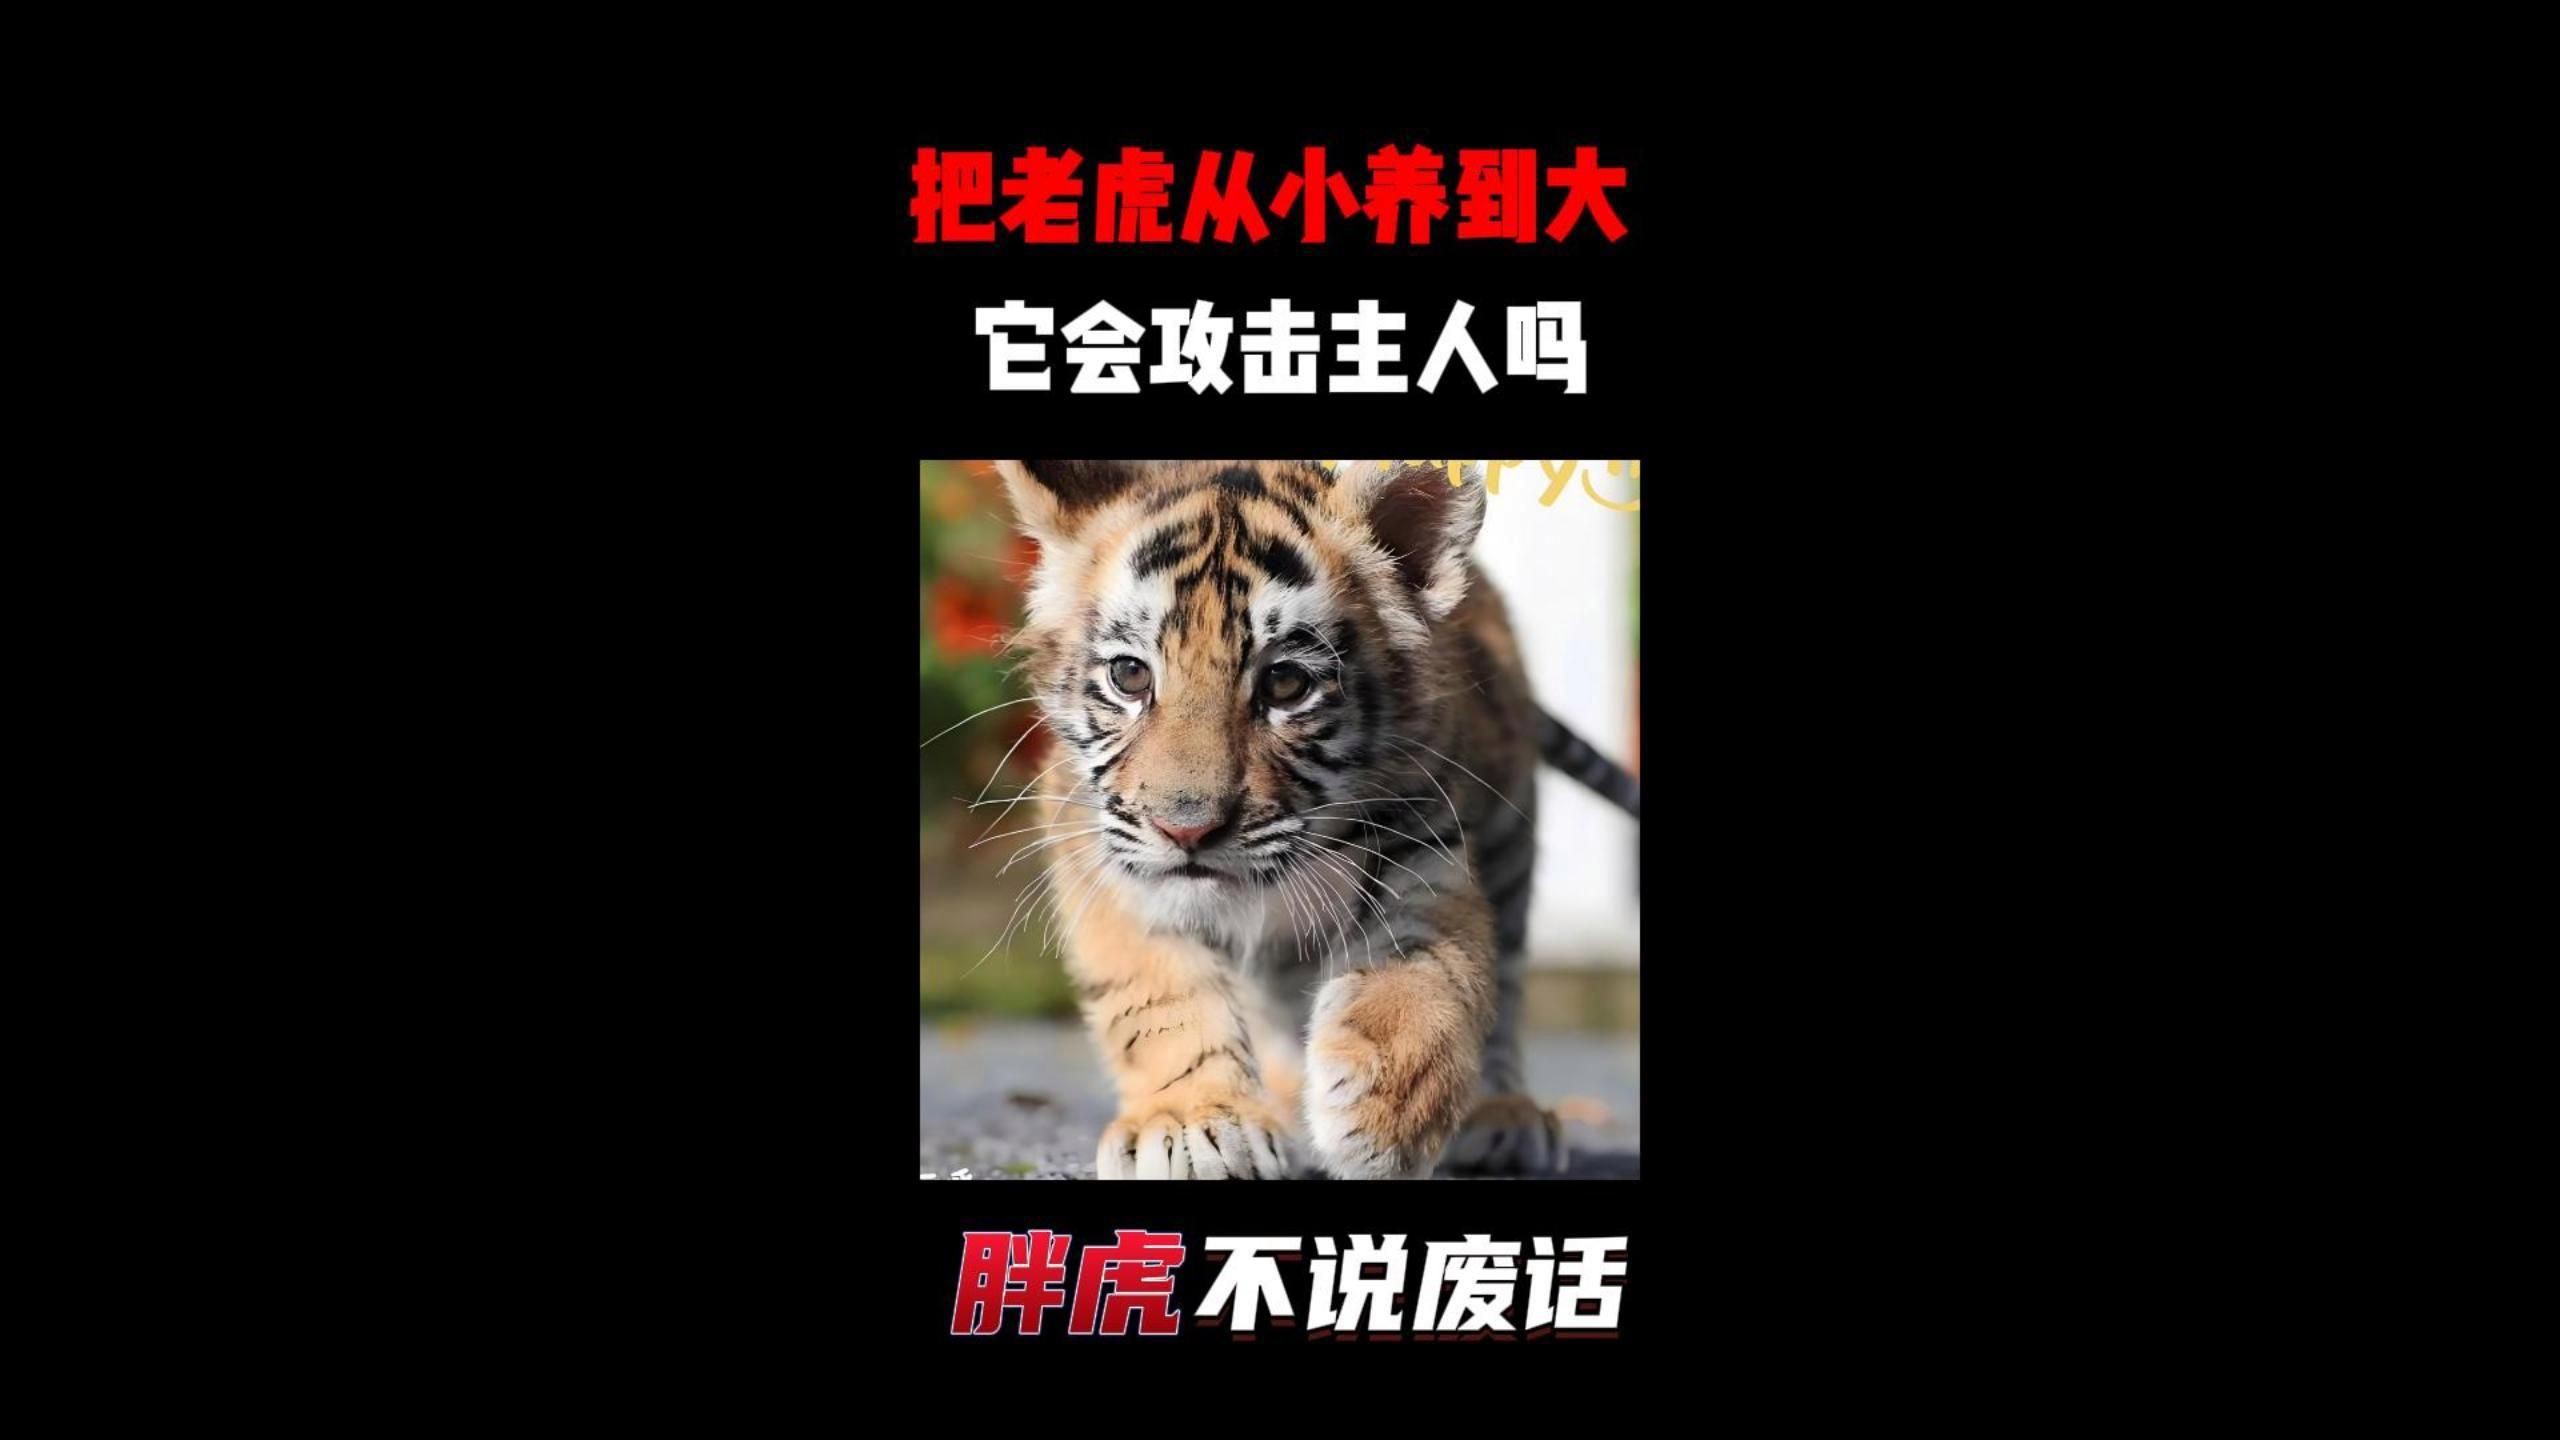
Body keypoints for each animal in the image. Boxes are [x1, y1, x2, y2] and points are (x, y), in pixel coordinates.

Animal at [987, 459, 1640, 1179]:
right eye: (1130, 676)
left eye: (1285, 685)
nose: (1186, 830)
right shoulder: (1109, 858)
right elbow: (1157, 996)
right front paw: (1191, 1124)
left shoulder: (1422, 844)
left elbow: (1423, 970)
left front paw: (1384, 1109)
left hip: (1509, 844)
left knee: (1509, 988)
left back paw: (1500, 1120)